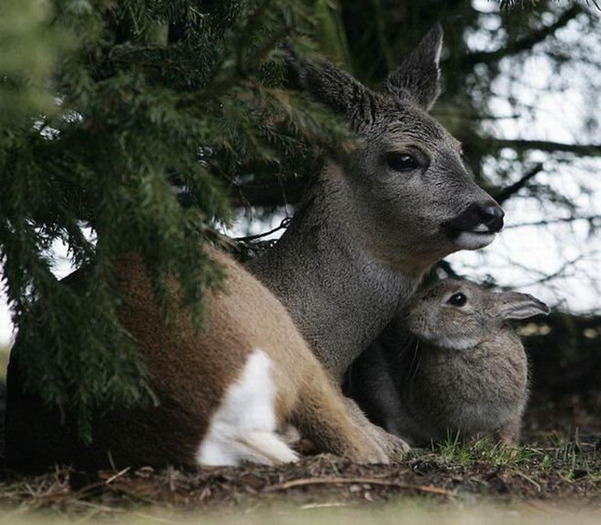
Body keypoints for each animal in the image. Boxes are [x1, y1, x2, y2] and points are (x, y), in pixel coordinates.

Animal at [346, 278, 548, 446]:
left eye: (458, 299)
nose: (407, 314)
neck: (473, 345)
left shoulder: (512, 412)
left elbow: (507, 433)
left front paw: (509, 451)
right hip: (380, 387)